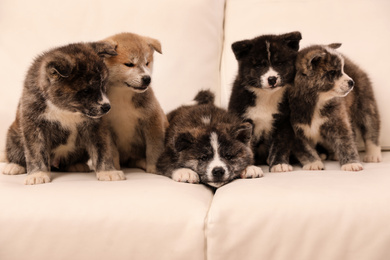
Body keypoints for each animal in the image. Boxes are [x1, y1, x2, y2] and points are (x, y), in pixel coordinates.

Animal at [1, 41, 125, 184]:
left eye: (103, 85)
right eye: (86, 91)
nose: (107, 107)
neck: (65, 109)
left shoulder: (96, 126)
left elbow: (102, 150)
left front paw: (108, 171)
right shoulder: (34, 125)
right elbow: (36, 152)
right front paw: (38, 174)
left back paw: (76, 165)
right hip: (13, 135)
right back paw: (14, 165)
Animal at [100, 33, 168, 175]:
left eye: (147, 63)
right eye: (129, 64)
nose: (147, 79)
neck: (123, 95)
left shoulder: (153, 120)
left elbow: (154, 149)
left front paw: (153, 169)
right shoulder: (108, 127)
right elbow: (113, 152)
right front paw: (115, 169)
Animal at [227, 31, 304, 173]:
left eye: (279, 63)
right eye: (258, 66)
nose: (272, 79)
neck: (266, 97)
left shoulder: (283, 121)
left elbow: (280, 145)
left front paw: (279, 164)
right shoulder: (243, 118)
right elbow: (245, 146)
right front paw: (249, 168)